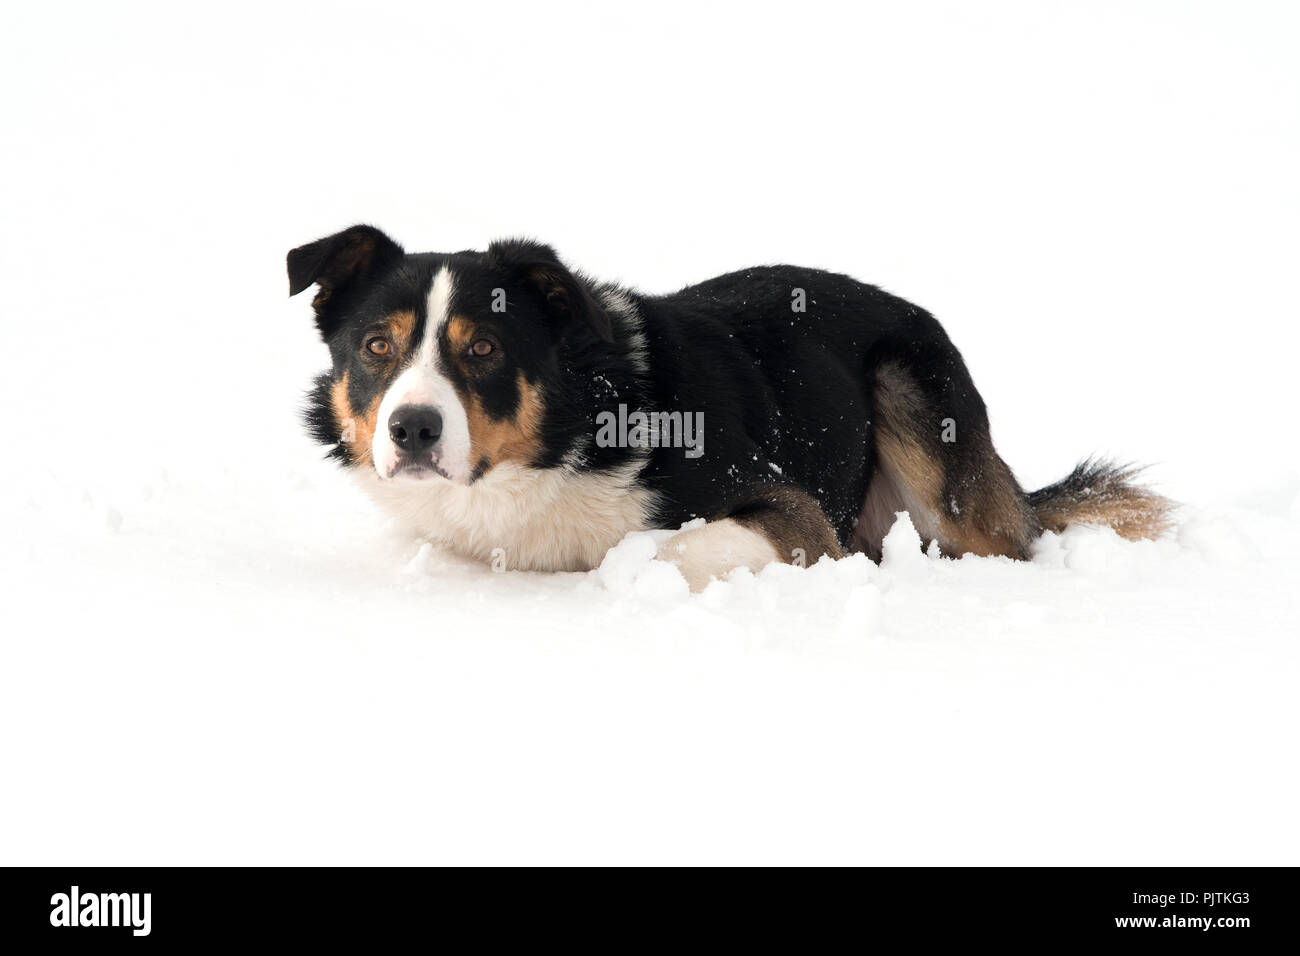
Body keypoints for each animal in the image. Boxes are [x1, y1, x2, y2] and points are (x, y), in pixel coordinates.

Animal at [289, 225, 1175, 590]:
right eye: (378, 346)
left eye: (483, 350)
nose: (413, 428)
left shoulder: (792, 511)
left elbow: (651, 553)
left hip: (915, 405)